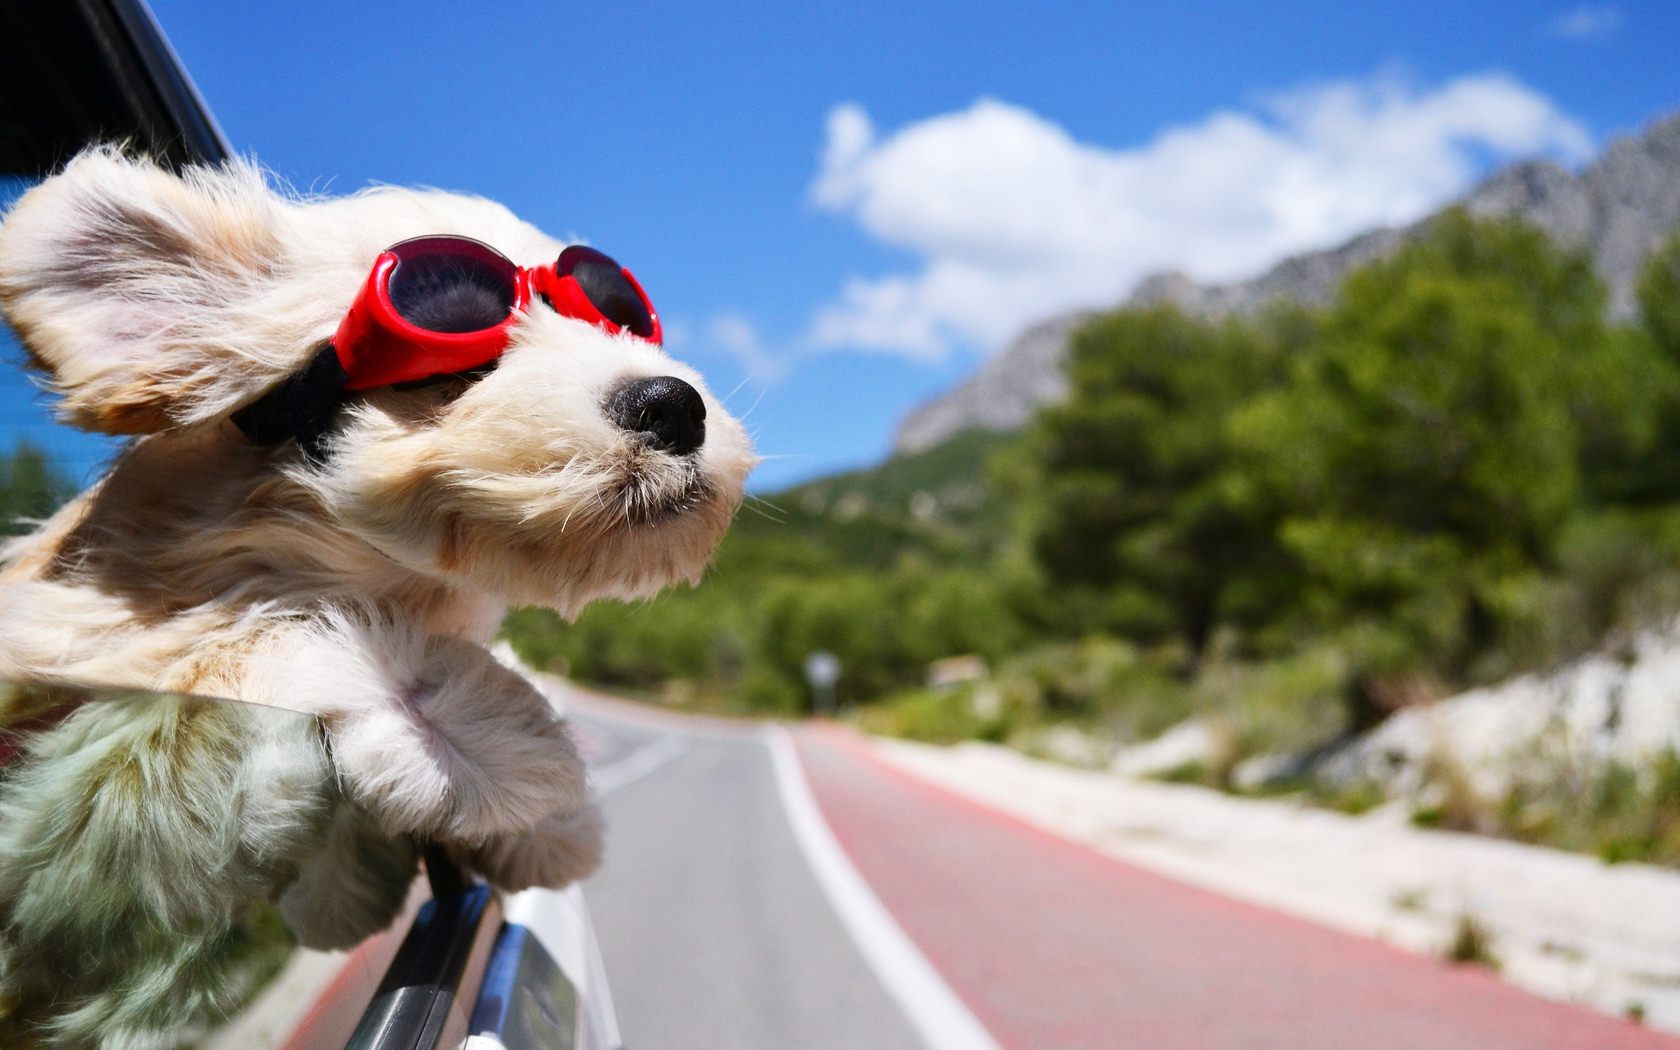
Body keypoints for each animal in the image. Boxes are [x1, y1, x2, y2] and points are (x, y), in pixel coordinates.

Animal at [0, 145, 756, 1041]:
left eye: (622, 318)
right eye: (455, 358)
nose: (673, 404)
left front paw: (544, 817)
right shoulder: (76, 650)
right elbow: (230, 649)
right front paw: (484, 737)